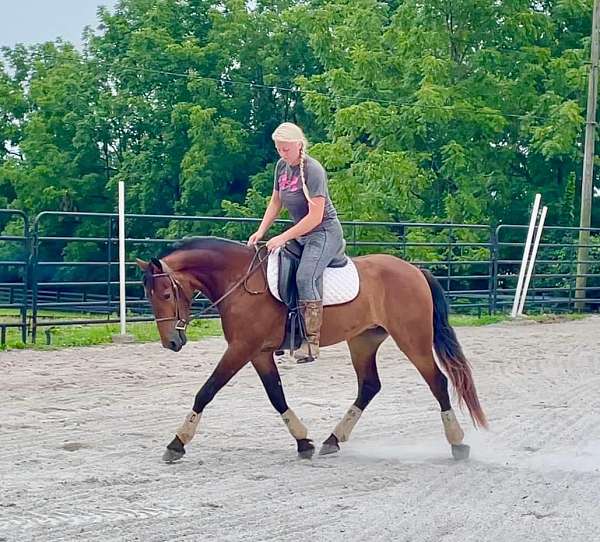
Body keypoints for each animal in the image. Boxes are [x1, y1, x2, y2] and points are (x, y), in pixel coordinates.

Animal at [137, 237, 488, 464]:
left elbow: (207, 390)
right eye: (150, 297)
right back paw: (332, 441)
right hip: (363, 341)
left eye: (166, 293)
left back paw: (458, 444)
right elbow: (276, 395)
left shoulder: (240, 348)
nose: (171, 342)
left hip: (412, 339)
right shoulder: (258, 353)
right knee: (369, 386)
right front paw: (303, 442)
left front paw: (177, 443)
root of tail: (415, 271)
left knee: (437, 382)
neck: (240, 280)